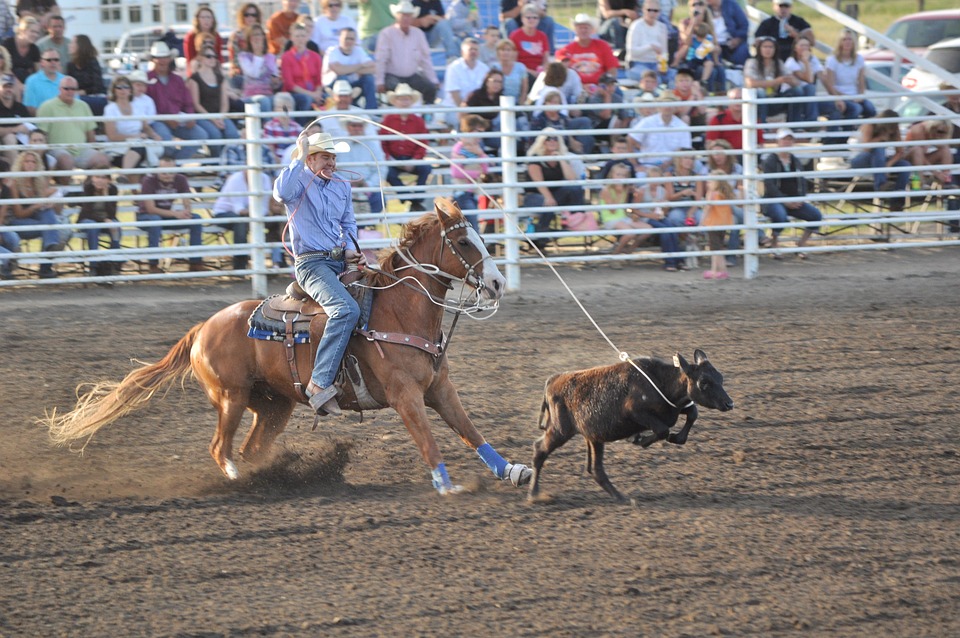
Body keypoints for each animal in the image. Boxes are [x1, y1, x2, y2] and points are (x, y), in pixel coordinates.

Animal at [44, 199, 531, 494]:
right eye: (465, 242)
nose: (496, 284)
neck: (399, 311)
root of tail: (203, 328)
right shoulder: (405, 396)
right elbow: (429, 441)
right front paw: (447, 485)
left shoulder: (438, 389)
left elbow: (471, 431)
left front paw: (513, 470)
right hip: (230, 396)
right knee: (220, 448)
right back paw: (240, 480)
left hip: (273, 406)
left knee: (248, 448)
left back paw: (266, 476)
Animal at [528, 349, 734, 502]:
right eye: (704, 382)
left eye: (720, 378)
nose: (729, 403)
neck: (660, 382)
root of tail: (552, 381)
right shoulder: (635, 411)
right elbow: (662, 430)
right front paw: (638, 439)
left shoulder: (673, 409)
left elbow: (692, 413)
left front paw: (675, 437)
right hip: (559, 431)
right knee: (539, 450)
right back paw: (534, 494)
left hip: (594, 437)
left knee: (596, 469)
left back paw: (620, 497)